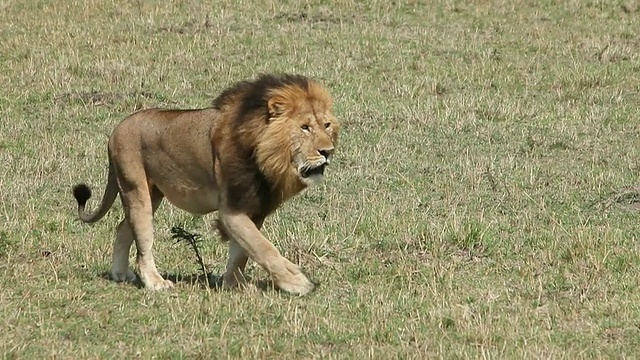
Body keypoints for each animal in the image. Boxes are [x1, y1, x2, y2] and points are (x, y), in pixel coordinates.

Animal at [71, 73, 340, 296]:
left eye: (326, 125)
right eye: (305, 128)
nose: (327, 151)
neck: (265, 155)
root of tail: (116, 129)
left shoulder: (254, 209)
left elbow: (242, 253)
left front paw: (235, 285)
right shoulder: (231, 209)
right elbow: (263, 248)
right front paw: (298, 283)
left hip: (152, 194)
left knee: (122, 229)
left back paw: (119, 274)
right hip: (135, 189)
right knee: (143, 241)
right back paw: (155, 282)